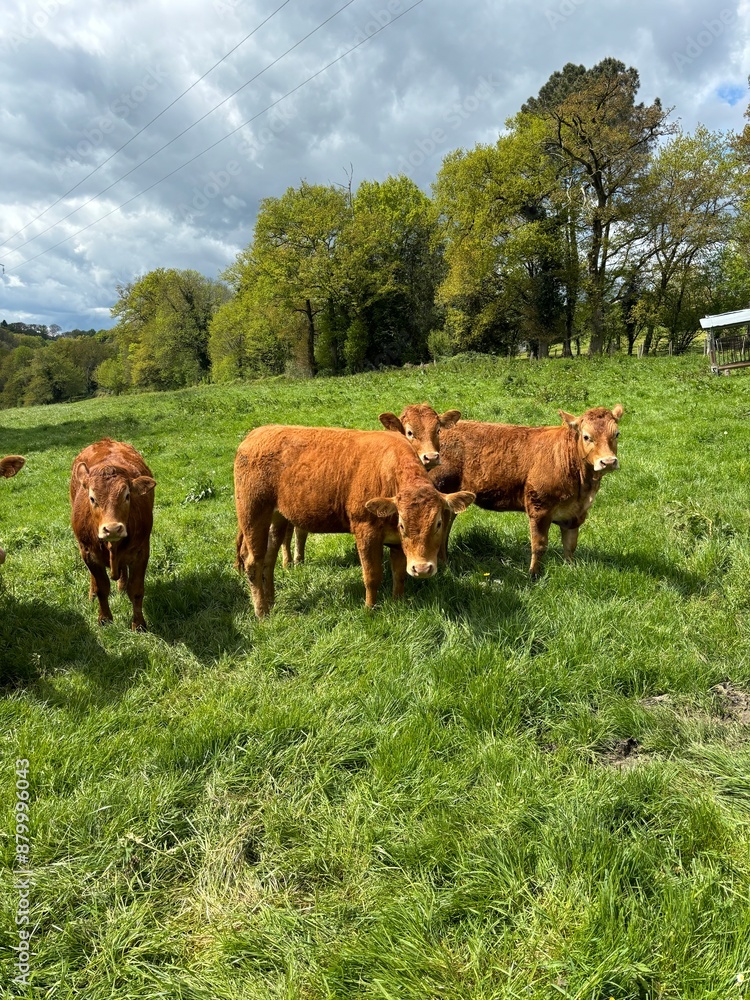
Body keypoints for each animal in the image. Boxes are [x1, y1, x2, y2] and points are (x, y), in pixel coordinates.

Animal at [70, 439, 156, 630]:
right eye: (92, 498)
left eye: (127, 496)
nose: (113, 529)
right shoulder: (88, 552)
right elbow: (102, 587)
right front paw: (104, 619)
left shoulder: (141, 551)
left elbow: (136, 590)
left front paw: (139, 624)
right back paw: (92, 595)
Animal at [234, 425, 474, 617]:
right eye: (403, 524)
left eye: (438, 523)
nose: (422, 569)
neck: (388, 476)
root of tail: (256, 434)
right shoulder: (365, 531)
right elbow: (372, 575)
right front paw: (370, 609)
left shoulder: (397, 543)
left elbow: (399, 574)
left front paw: (398, 601)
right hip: (253, 513)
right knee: (253, 562)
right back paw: (262, 612)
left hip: (278, 517)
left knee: (269, 558)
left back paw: (271, 601)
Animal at [431, 405, 624, 575]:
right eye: (586, 436)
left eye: (616, 434)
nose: (608, 461)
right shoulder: (539, 508)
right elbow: (539, 545)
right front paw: (533, 574)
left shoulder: (575, 513)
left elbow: (570, 546)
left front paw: (570, 569)